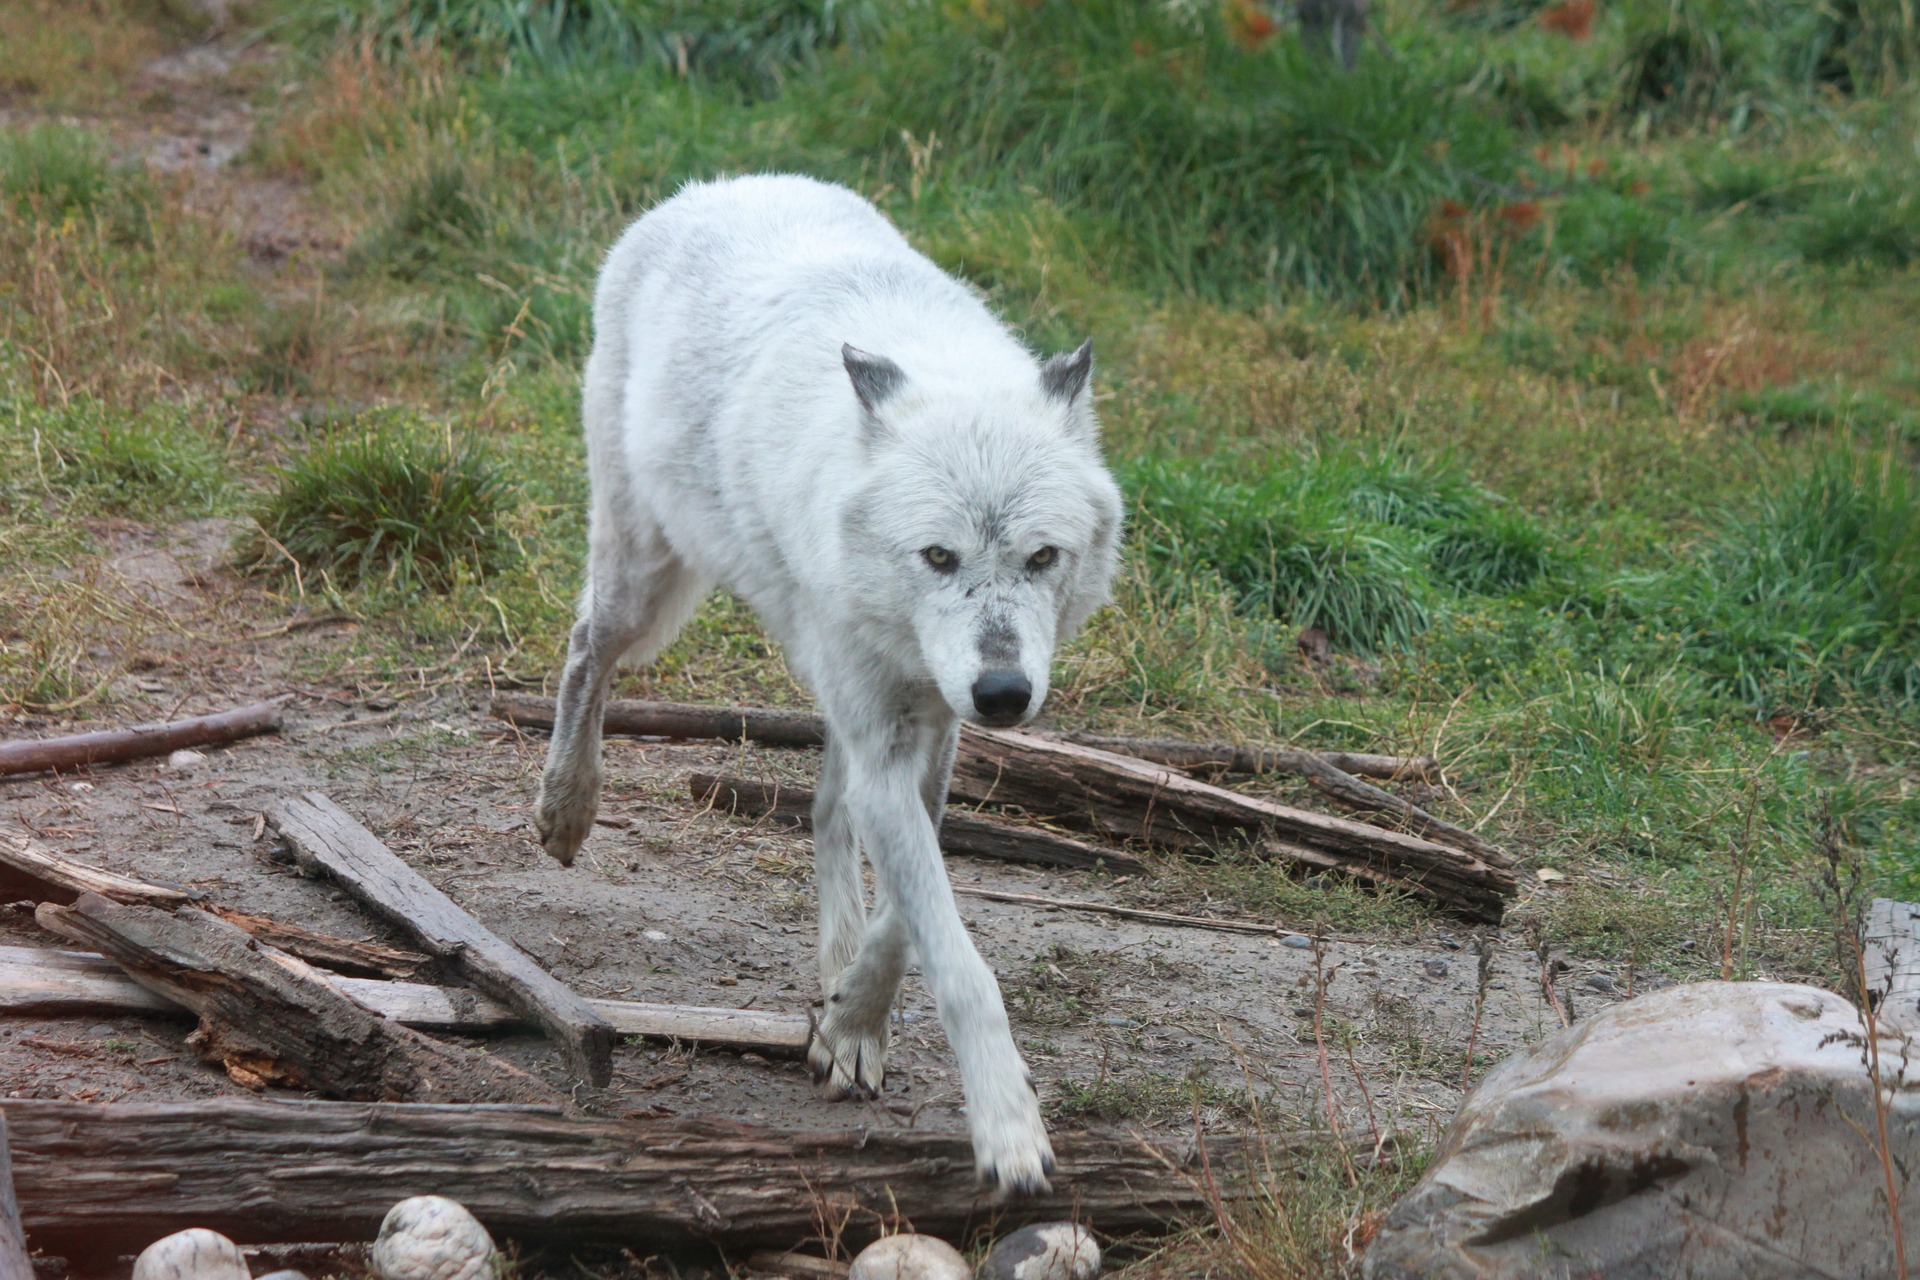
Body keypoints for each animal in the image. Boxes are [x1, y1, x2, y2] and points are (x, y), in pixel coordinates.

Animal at [529, 175, 1121, 1197]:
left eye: (1042, 557)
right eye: (938, 556)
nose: (1005, 694)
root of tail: (712, 186)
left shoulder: (930, 731)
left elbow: (905, 914)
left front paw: (850, 1021)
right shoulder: (893, 732)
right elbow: (958, 959)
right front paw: (1007, 1126)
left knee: (823, 811)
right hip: (644, 588)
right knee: (582, 651)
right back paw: (566, 807)